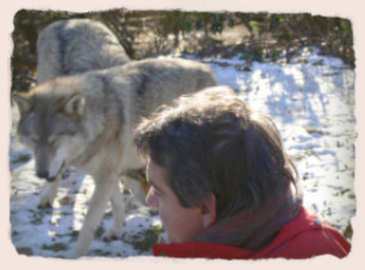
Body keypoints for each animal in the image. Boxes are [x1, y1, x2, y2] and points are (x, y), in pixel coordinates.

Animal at [14, 57, 216, 258]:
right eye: (34, 140)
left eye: (54, 140)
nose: (41, 174)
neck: (98, 119)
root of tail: (206, 68)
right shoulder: (107, 174)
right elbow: (118, 205)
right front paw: (115, 232)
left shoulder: (105, 177)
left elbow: (88, 224)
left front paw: (77, 256)